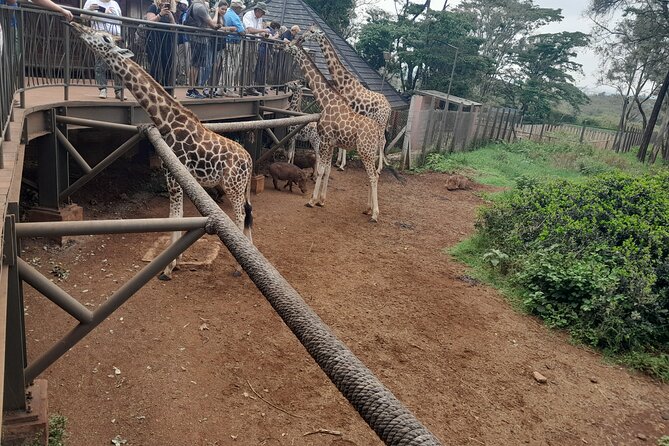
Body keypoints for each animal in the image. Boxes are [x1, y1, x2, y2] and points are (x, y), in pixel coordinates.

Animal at [67, 22, 253, 280]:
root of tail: (250, 159)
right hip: (241, 187)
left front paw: (167, 268)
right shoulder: (175, 177)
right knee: (248, 214)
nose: (76, 25)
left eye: (105, 38)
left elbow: (174, 216)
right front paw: (176, 261)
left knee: (241, 215)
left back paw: (237, 268)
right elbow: (177, 216)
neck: (167, 122)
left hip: (233, 186)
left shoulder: (173, 177)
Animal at [284, 43, 385, 222]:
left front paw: (312, 200)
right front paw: (321, 200)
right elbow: (327, 169)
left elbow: (320, 169)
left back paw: (374, 214)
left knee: (373, 176)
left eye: (290, 44)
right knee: (373, 175)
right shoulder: (331, 143)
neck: (326, 101)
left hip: (364, 151)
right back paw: (367, 209)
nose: (282, 46)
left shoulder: (323, 140)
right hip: (370, 152)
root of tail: (378, 132)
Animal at [296, 29, 391, 173]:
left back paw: (379, 167)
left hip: (381, 122)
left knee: (382, 140)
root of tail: (390, 108)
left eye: (312, 31)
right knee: (383, 140)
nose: (301, 37)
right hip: (381, 123)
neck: (342, 82)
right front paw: (338, 162)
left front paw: (341, 164)